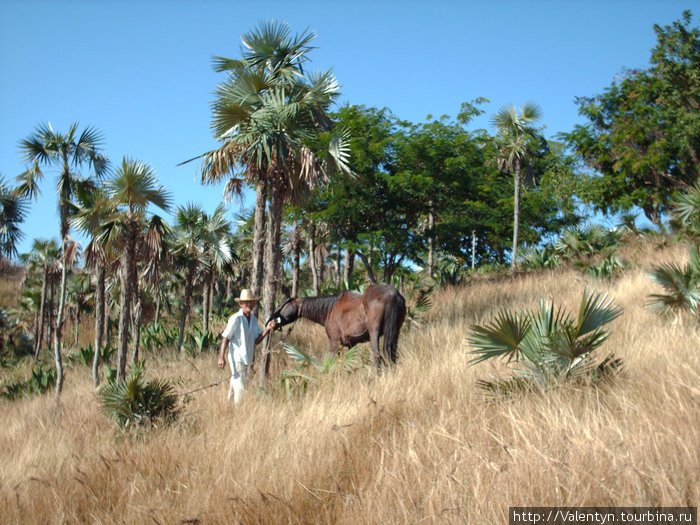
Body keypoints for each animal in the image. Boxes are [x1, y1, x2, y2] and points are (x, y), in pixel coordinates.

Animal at [270, 284, 408, 366]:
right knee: (392, 355)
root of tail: (393, 294)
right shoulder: (351, 344)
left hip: (374, 333)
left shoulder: (335, 343)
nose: (270, 322)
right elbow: (349, 361)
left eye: (281, 304)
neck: (330, 309)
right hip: (395, 332)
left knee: (377, 356)